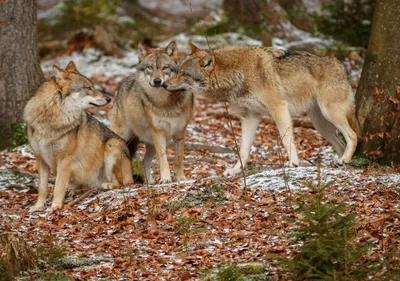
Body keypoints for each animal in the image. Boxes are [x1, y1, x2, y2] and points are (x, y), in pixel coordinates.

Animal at [24, 61, 134, 210]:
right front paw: (38, 206)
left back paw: (107, 184)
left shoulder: (65, 160)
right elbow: (42, 188)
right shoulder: (41, 160)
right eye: (88, 88)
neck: (52, 118)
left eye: (93, 86)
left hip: (112, 145)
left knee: (122, 183)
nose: (109, 98)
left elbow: (58, 187)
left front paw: (55, 207)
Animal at [111, 40, 194, 183]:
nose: (157, 81)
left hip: (150, 144)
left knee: (144, 162)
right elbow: (164, 160)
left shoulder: (180, 133)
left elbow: (178, 160)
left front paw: (181, 178)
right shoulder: (158, 133)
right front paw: (165, 179)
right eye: (150, 67)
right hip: (122, 138)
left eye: (165, 68)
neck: (165, 103)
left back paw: (150, 183)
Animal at [162, 42, 360, 175]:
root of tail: (340, 65)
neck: (237, 74)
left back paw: (345, 159)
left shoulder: (279, 108)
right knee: (341, 143)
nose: (163, 84)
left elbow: (286, 139)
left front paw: (293, 163)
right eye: (177, 70)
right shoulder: (250, 117)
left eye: (184, 74)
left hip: (330, 113)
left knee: (353, 136)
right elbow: (243, 150)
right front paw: (235, 170)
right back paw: (341, 162)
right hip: (321, 125)